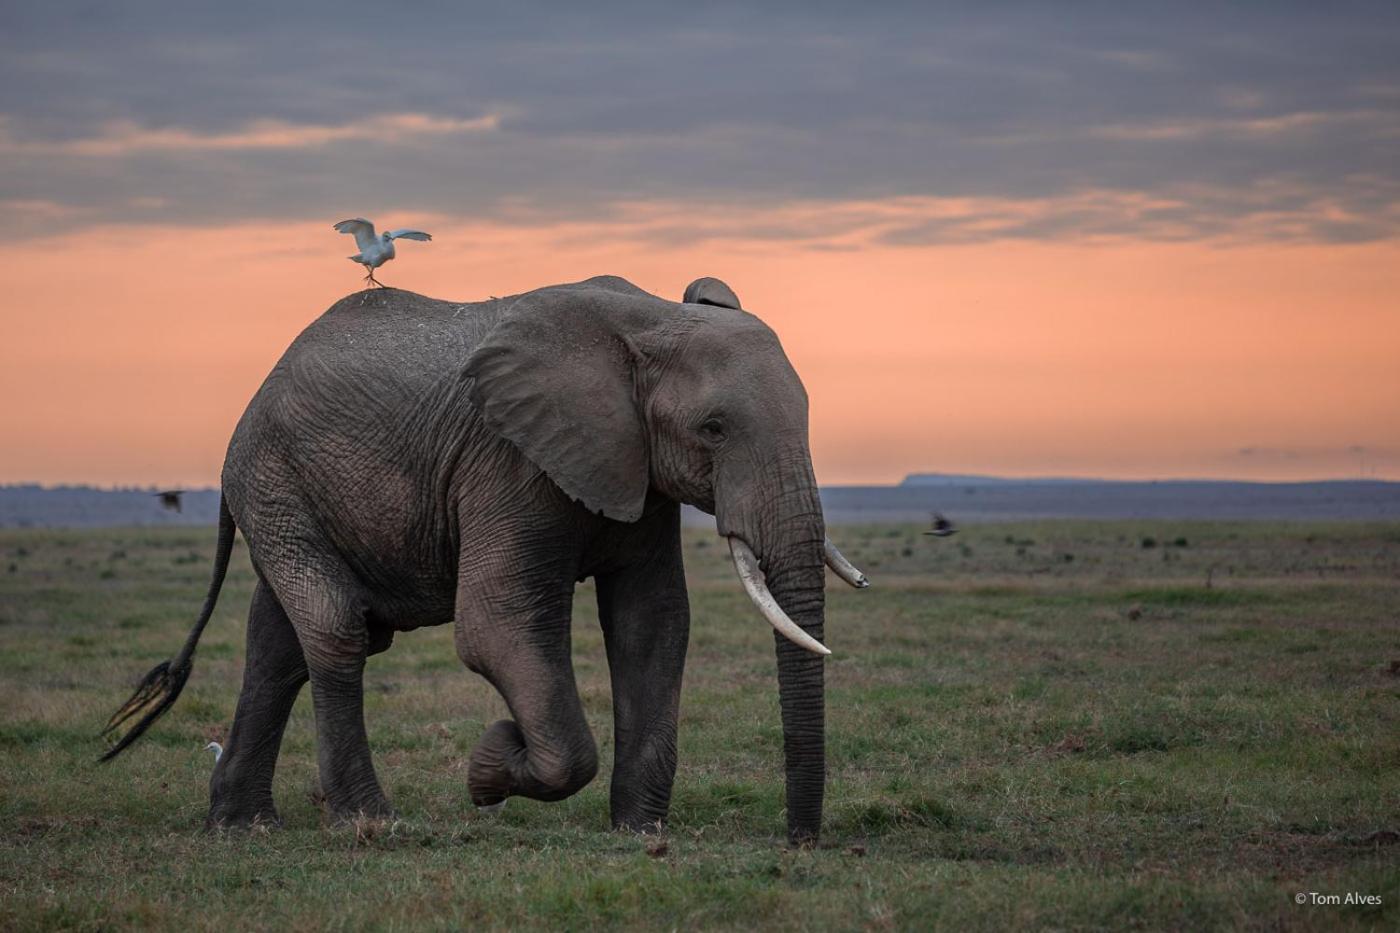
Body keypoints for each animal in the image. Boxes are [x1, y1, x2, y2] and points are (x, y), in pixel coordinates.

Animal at [101, 273, 862, 840]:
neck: (648, 321)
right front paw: (491, 764)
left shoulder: (636, 470)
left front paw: (639, 833)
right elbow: (496, 627)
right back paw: (369, 822)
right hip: (274, 480)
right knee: (335, 628)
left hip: (290, 493)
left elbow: (652, 623)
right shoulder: (510, 459)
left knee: (277, 645)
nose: (799, 841)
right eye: (713, 428)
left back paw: (242, 826)